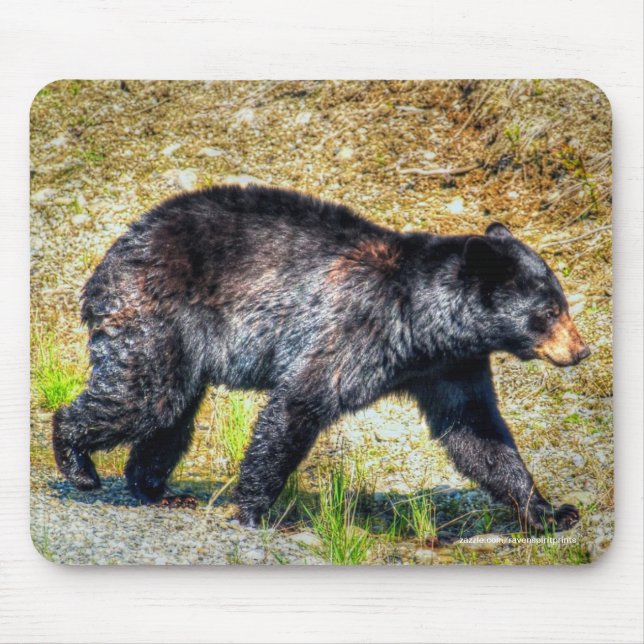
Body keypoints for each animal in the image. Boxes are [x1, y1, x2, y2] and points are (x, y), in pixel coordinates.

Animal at [52, 184, 590, 530]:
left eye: (563, 303)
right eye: (548, 310)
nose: (581, 350)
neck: (422, 322)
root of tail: (107, 263)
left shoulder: (450, 366)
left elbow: (477, 432)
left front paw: (549, 512)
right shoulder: (355, 331)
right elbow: (298, 404)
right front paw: (254, 511)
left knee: (171, 416)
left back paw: (157, 489)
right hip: (156, 318)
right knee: (144, 398)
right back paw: (78, 463)